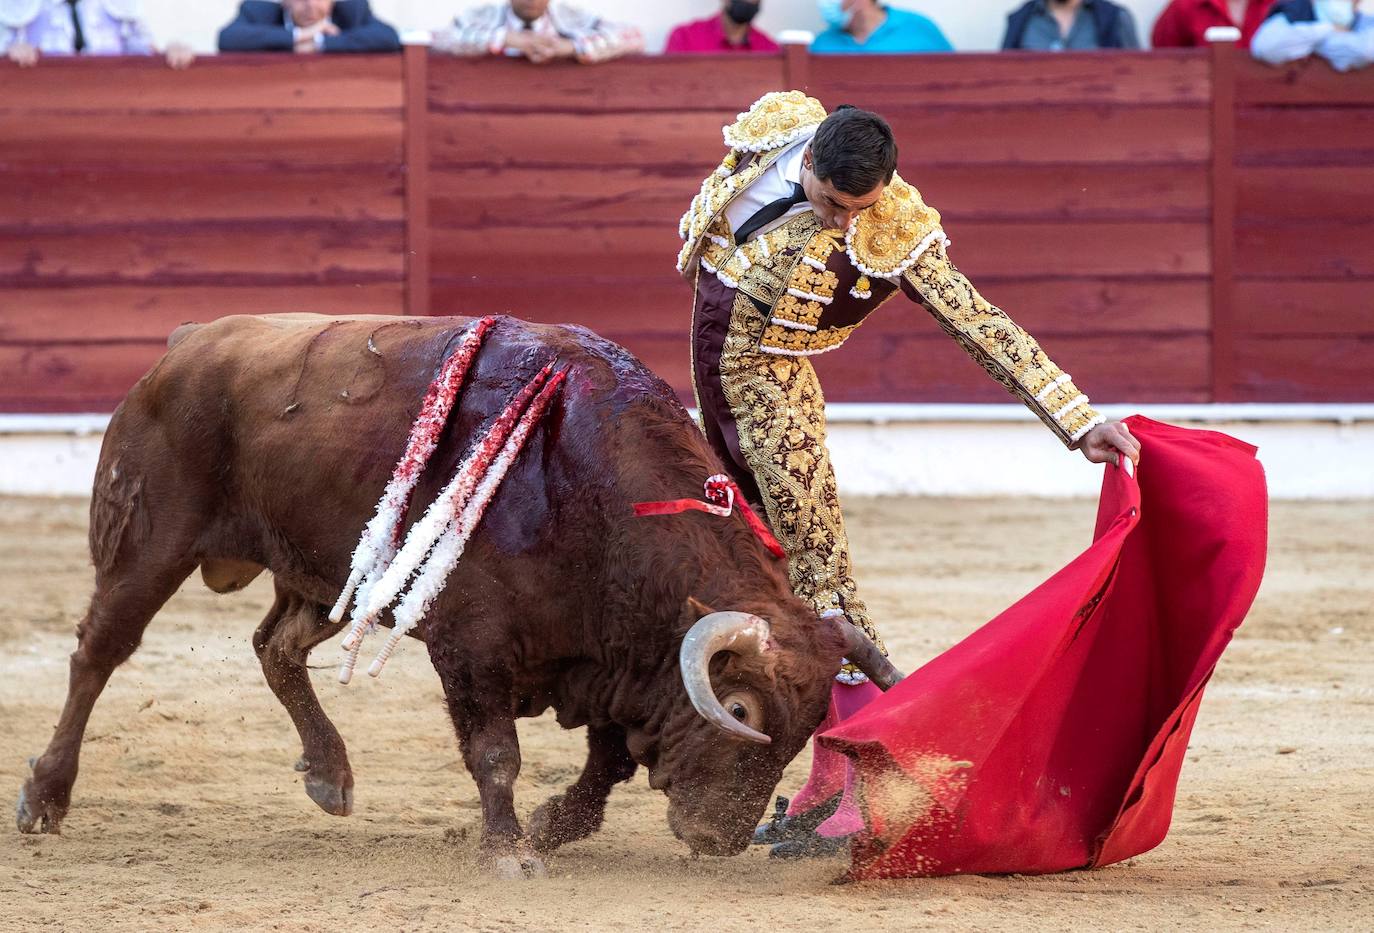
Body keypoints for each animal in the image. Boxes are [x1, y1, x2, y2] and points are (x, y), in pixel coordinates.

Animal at [21, 313, 901, 873]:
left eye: (808, 730)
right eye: (742, 710)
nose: (720, 838)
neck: (593, 494)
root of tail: (187, 343)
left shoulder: (615, 658)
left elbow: (609, 759)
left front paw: (551, 827)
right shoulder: (472, 647)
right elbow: (497, 754)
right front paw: (510, 851)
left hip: (334, 571)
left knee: (275, 646)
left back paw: (330, 775)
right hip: (149, 544)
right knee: (98, 653)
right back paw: (44, 797)